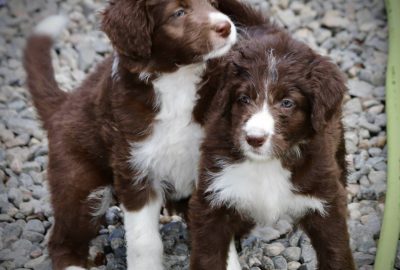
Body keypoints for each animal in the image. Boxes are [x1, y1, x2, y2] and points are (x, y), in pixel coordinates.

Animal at [22, 0, 260, 268]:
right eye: (178, 13)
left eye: (211, 3)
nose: (226, 26)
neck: (177, 81)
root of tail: (64, 103)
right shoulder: (134, 166)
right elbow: (144, 240)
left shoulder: (213, 170)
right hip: (79, 181)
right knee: (62, 238)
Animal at [190, 22, 356, 270]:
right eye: (243, 99)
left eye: (287, 103)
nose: (254, 138)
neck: (266, 164)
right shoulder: (214, 193)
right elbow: (207, 254)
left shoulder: (325, 196)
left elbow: (335, 250)